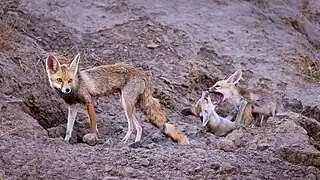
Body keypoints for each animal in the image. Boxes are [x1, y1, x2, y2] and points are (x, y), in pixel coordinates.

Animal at [46, 52, 189, 145]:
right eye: (59, 80)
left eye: (70, 80)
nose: (67, 90)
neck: (77, 85)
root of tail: (141, 72)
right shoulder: (72, 107)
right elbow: (68, 129)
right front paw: (65, 141)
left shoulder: (89, 101)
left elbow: (93, 125)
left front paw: (93, 138)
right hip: (129, 106)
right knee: (140, 126)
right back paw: (135, 143)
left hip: (126, 105)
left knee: (132, 126)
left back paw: (125, 141)